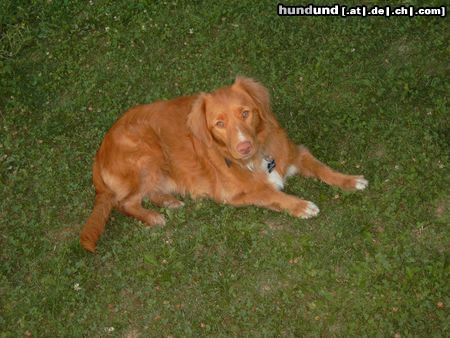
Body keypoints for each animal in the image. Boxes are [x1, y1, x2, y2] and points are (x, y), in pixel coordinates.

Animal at [80, 76, 370, 251]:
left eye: (245, 113)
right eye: (219, 123)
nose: (244, 147)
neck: (256, 158)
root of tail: (99, 150)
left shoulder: (294, 154)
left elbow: (322, 168)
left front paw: (350, 180)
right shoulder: (234, 194)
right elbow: (272, 194)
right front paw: (300, 205)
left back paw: (169, 201)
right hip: (148, 152)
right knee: (124, 202)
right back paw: (153, 216)